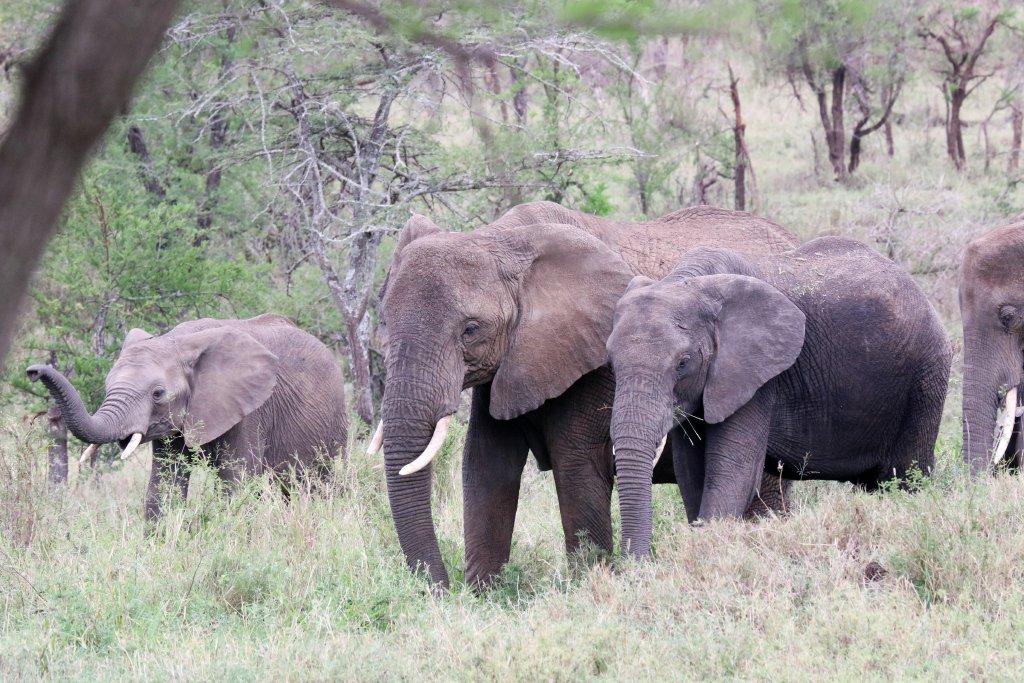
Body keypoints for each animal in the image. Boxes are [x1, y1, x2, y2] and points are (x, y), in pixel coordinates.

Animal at [26, 313, 348, 522]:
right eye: (108, 386)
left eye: (157, 393)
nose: (33, 371)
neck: (178, 342)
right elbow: (165, 484)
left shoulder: (251, 409)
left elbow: (237, 482)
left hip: (334, 422)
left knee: (320, 483)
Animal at [373, 200, 801, 588]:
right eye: (384, 321)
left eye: (471, 329)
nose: (438, 589)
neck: (501, 238)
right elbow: (486, 464)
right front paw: (482, 599)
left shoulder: (592, 363)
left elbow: (577, 466)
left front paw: (587, 585)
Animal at [606, 237, 952, 558]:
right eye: (610, 360)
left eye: (683, 362)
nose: (638, 563)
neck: (689, 282)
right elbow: (690, 472)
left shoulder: (758, 376)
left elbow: (733, 472)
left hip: (926, 375)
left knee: (905, 476)